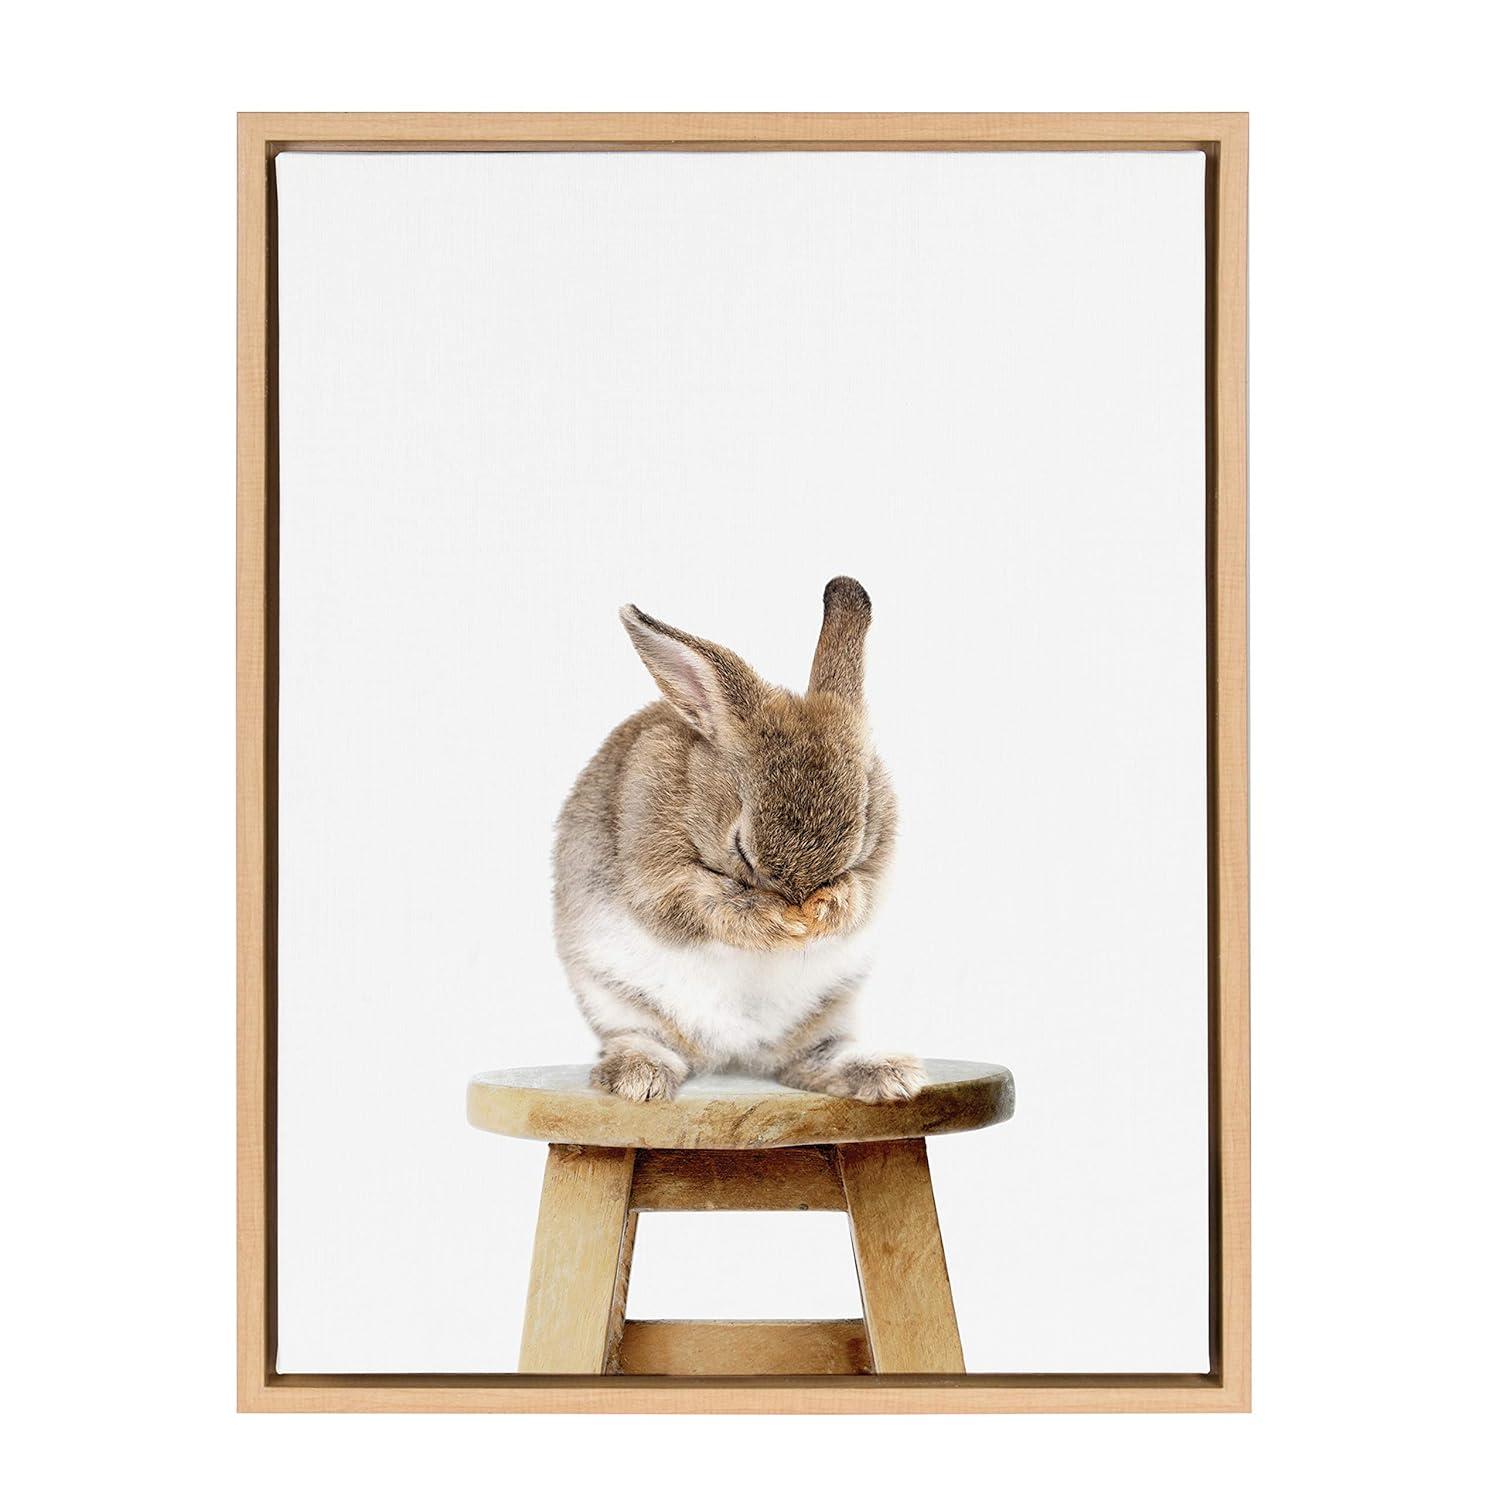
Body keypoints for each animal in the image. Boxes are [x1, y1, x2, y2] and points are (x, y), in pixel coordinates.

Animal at [552, 575, 924, 1104]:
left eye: (857, 839)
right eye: (741, 848)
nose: (800, 905)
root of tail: (734, 1055)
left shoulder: (878, 869)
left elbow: (862, 895)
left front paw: (828, 909)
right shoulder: (657, 874)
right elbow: (706, 906)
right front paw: (778, 923)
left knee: (813, 1061)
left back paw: (890, 1075)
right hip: (617, 1002)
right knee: (641, 1040)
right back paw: (639, 1079)